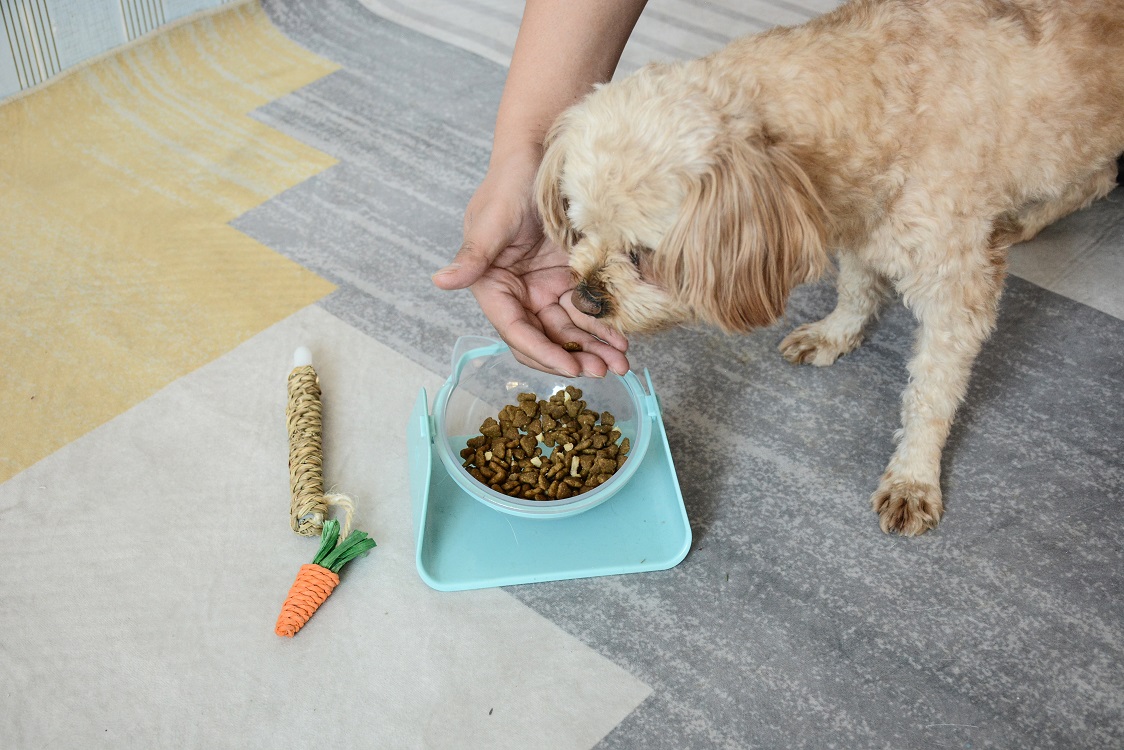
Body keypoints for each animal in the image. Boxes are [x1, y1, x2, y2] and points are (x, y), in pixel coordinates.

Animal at [532, 1, 1124, 539]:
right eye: (577, 228)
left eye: (644, 256)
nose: (584, 300)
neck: (885, 93)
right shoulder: (861, 221)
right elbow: (858, 286)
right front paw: (837, 333)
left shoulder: (955, 287)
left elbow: (931, 392)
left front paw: (914, 476)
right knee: (1096, 177)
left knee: (1097, 179)